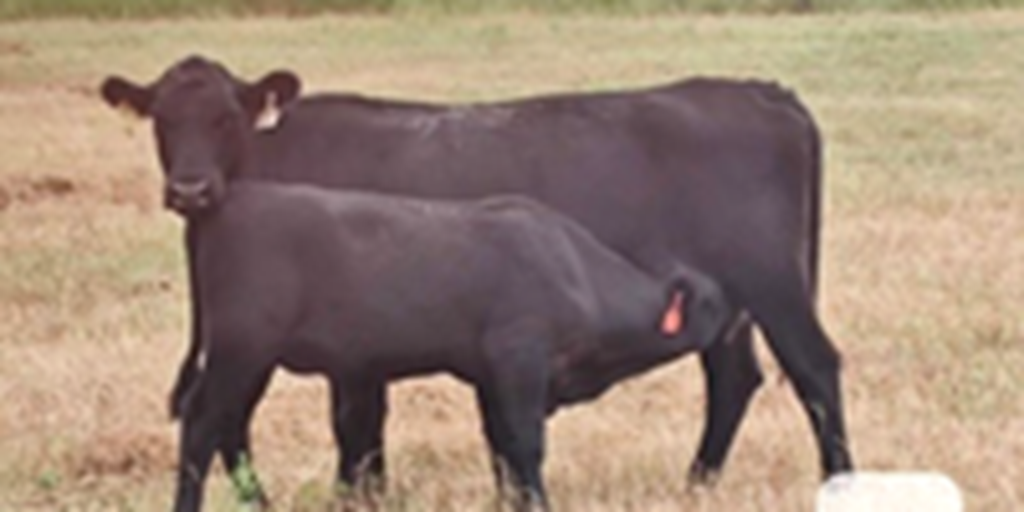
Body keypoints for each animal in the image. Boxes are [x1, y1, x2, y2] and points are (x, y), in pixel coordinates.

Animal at [103, 55, 851, 487]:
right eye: (161, 119)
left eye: (227, 115)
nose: (190, 190)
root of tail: (760, 92)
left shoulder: (356, 348)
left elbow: (357, 429)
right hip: (733, 303)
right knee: (735, 378)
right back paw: (696, 483)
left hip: (775, 286)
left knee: (814, 369)